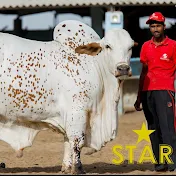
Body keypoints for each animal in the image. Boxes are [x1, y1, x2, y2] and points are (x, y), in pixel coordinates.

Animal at [0, 19, 136, 173]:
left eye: (131, 46)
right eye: (108, 46)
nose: (123, 68)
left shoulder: (69, 115)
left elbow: (67, 140)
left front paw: (66, 167)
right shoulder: (77, 110)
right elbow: (77, 141)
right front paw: (78, 168)